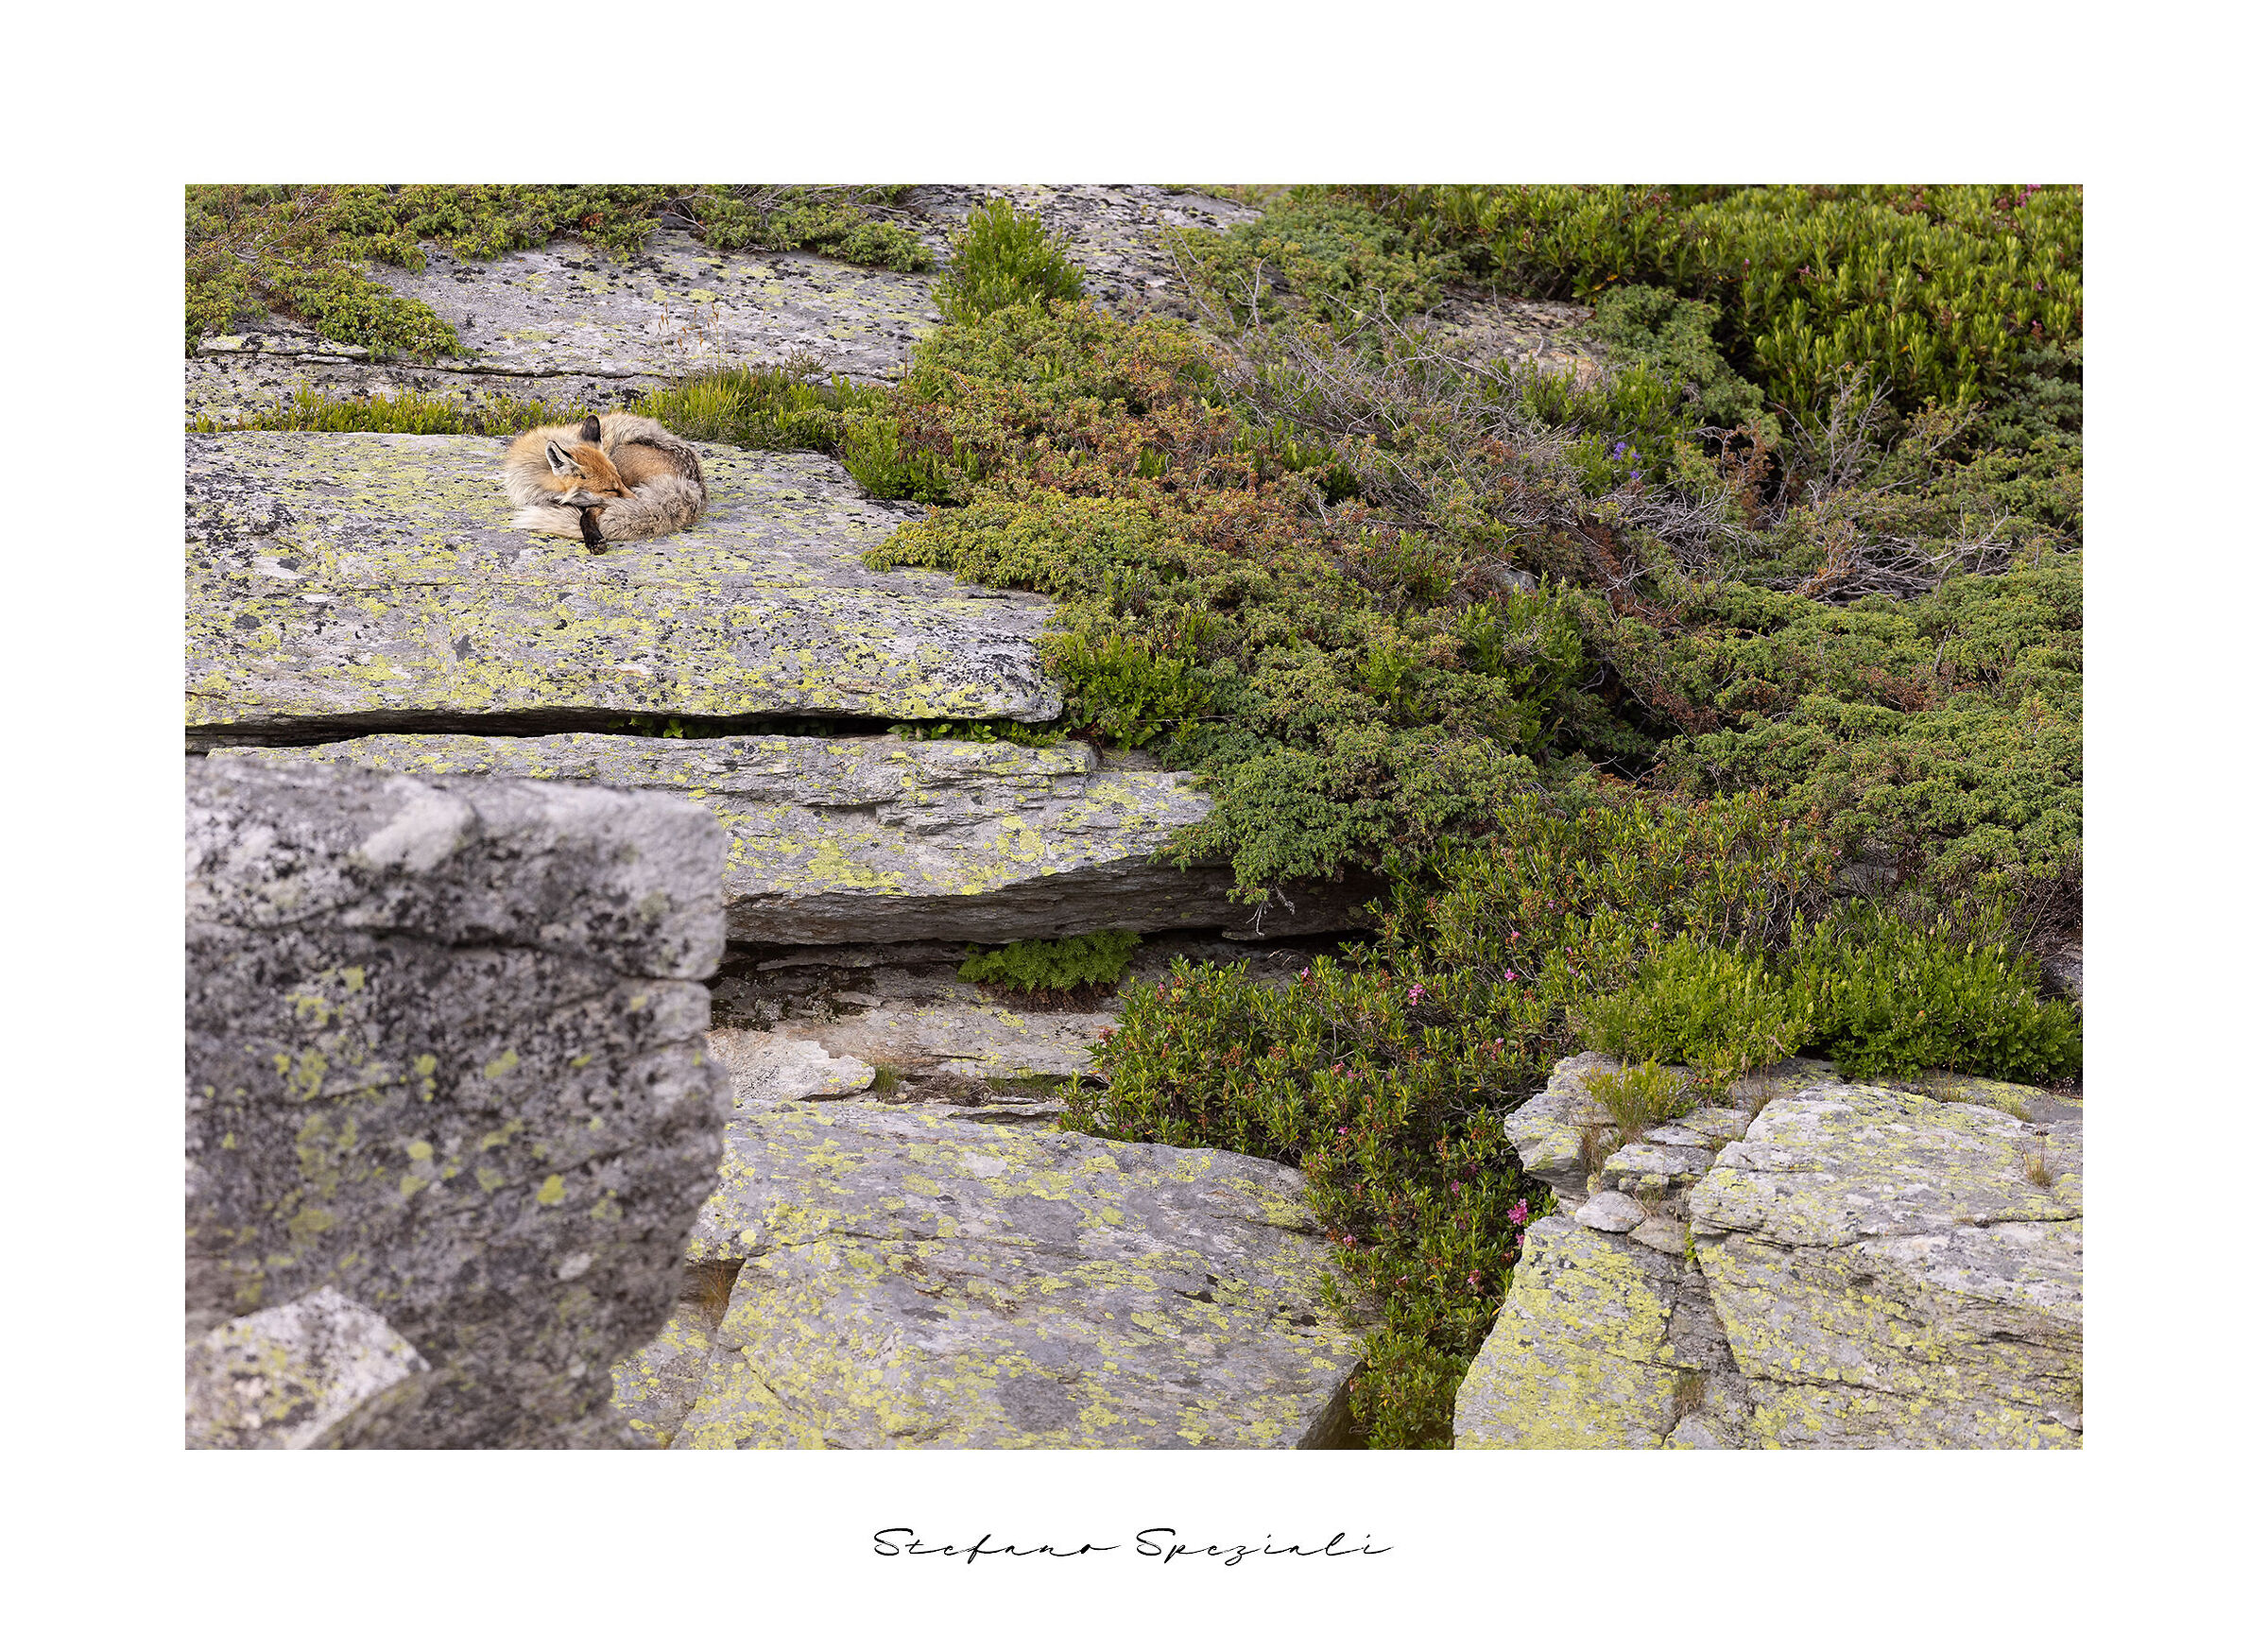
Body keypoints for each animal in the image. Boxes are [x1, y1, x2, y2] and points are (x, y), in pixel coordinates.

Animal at [502, 412, 705, 551]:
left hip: (619, 456)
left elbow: (587, 512)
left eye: (620, 482)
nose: (639, 502)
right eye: (610, 489)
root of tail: (694, 484)